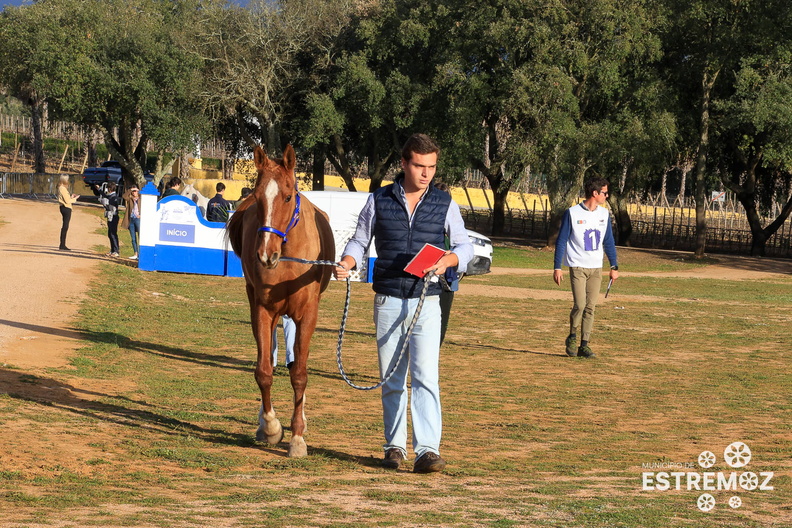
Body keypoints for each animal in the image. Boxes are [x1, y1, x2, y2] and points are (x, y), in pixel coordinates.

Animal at [226, 144, 334, 458]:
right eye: (258, 196)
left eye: (287, 196)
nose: (266, 254)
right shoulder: (263, 311)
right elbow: (264, 371)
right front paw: (271, 426)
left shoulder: (307, 315)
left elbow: (299, 374)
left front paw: (297, 437)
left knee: (297, 361)